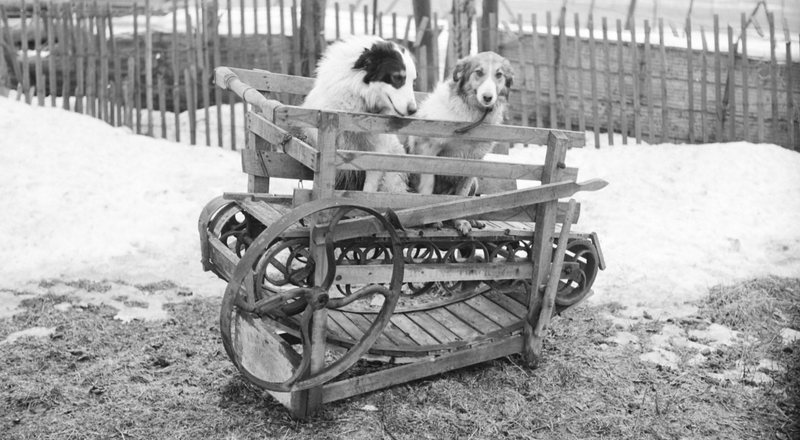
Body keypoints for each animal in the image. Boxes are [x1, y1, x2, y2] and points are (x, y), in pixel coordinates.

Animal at [406, 51, 512, 235]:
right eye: (479, 72)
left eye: (499, 74)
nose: (488, 97)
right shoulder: (426, 149)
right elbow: (428, 184)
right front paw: (431, 220)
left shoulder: (472, 161)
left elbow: (460, 197)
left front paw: (460, 221)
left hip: (475, 181)